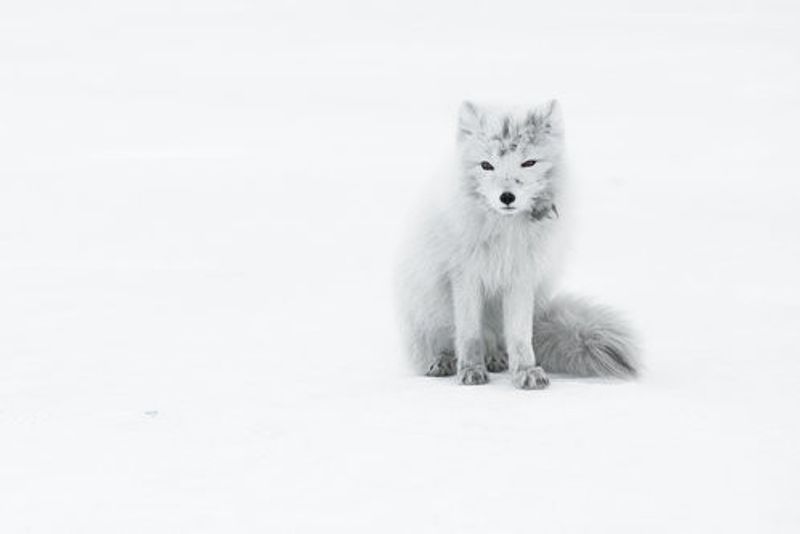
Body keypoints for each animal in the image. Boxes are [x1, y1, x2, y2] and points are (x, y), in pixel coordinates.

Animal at [396, 100, 638, 389]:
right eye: (486, 165)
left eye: (528, 163)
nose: (507, 197)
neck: (504, 233)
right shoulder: (465, 277)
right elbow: (468, 333)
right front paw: (471, 370)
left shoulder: (521, 277)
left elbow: (520, 336)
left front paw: (525, 371)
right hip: (428, 309)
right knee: (445, 342)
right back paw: (444, 362)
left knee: (496, 340)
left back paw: (496, 358)